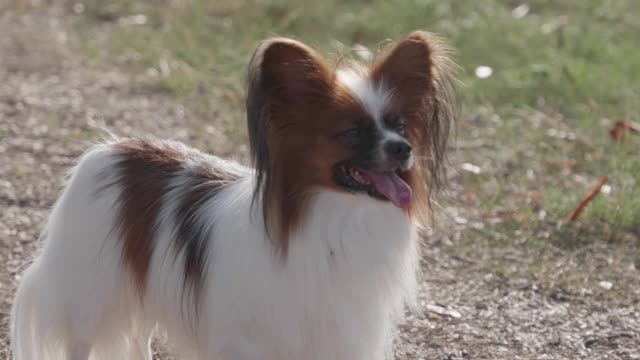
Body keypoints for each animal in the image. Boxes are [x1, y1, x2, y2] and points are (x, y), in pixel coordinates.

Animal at [8, 31, 456, 360]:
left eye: (400, 125)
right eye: (351, 132)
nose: (403, 148)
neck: (337, 214)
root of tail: (111, 148)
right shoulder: (252, 340)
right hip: (92, 292)